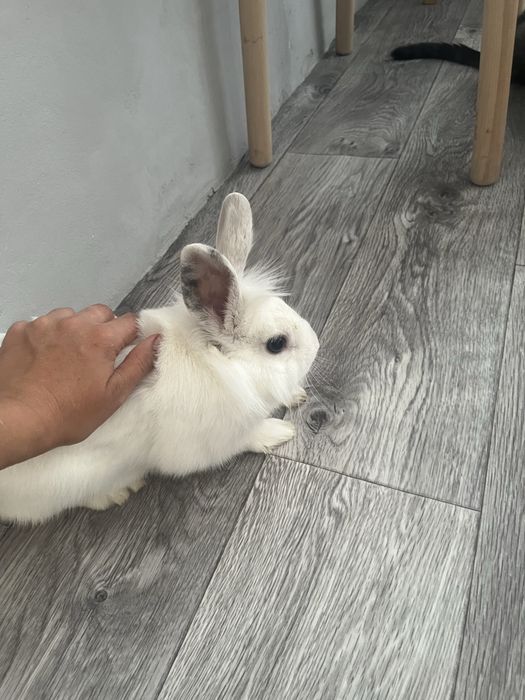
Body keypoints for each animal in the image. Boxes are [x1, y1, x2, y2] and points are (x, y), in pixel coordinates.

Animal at [0, 193, 319, 525]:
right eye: (276, 344)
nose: (317, 346)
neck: (216, 361)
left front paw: (296, 394)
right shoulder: (209, 444)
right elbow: (247, 438)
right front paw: (279, 431)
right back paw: (119, 492)